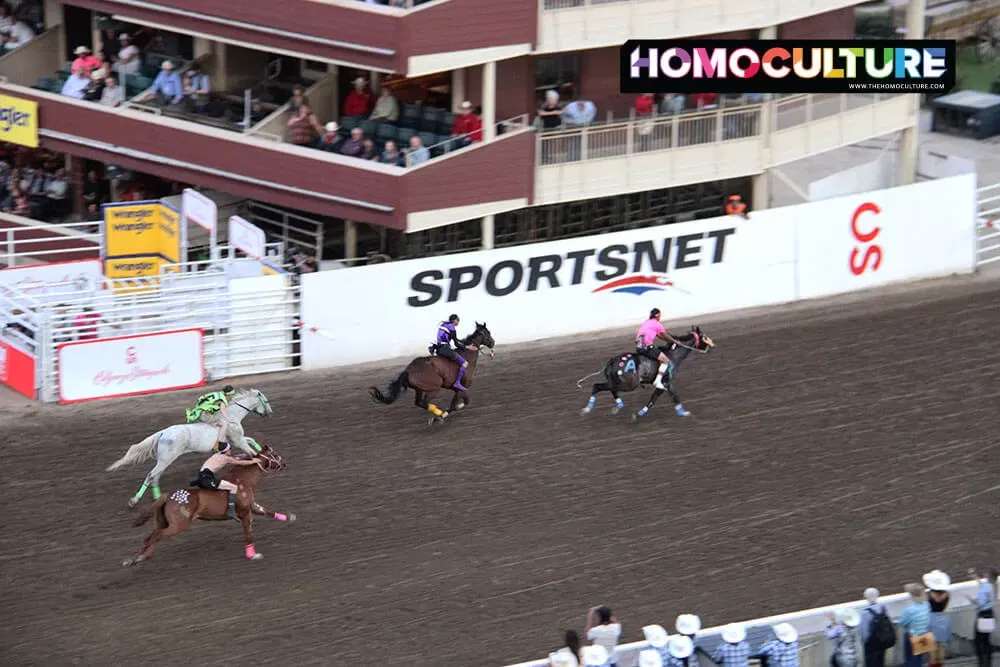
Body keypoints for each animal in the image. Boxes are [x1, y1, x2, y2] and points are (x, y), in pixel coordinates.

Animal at [105, 388, 274, 508]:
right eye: (265, 400)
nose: (270, 413)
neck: (231, 416)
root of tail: (163, 433)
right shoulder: (238, 440)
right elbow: (250, 452)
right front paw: (263, 462)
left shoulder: (237, 440)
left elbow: (252, 442)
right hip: (166, 459)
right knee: (151, 476)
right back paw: (134, 501)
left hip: (163, 461)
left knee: (155, 477)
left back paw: (158, 498)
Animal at [121, 446, 292, 568]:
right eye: (274, 454)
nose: (284, 463)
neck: (242, 481)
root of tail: (168, 495)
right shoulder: (245, 513)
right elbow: (248, 533)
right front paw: (253, 554)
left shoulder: (252, 506)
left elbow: (266, 511)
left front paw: (288, 517)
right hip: (178, 525)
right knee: (155, 536)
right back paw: (136, 558)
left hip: (162, 522)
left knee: (151, 537)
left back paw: (136, 558)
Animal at [576, 328, 716, 422]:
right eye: (704, 337)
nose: (714, 346)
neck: (673, 355)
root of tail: (611, 361)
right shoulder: (665, 383)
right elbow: (658, 400)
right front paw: (684, 413)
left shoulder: (667, 384)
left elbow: (664, 398)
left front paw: (682, 412)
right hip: (628, 384)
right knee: (600, 387)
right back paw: (594, 408)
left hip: (617, 381)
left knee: (602, 387)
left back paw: (613, 405)